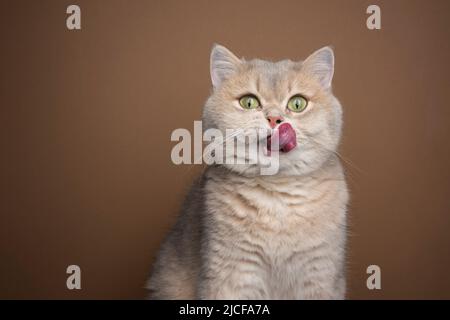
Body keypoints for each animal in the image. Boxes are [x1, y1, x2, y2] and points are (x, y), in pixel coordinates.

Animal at [147, 43, 348, 298]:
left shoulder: (320, 274)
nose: (274, 119)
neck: (277, 197)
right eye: (249, 102)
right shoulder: (231, 274)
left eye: (297, 104)